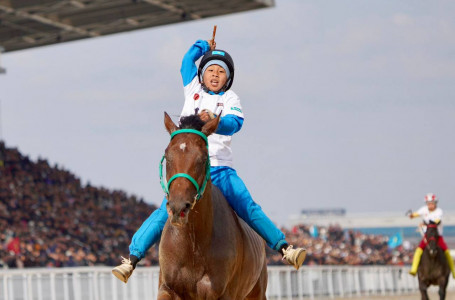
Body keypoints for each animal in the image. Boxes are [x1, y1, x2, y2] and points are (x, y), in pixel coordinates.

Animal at [159, 113, 268, 300]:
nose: (178, 208)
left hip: (257, 292)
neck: (193, 244)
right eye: (167, 156)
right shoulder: (167, 287)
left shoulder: (222, 293)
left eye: (203, 159)